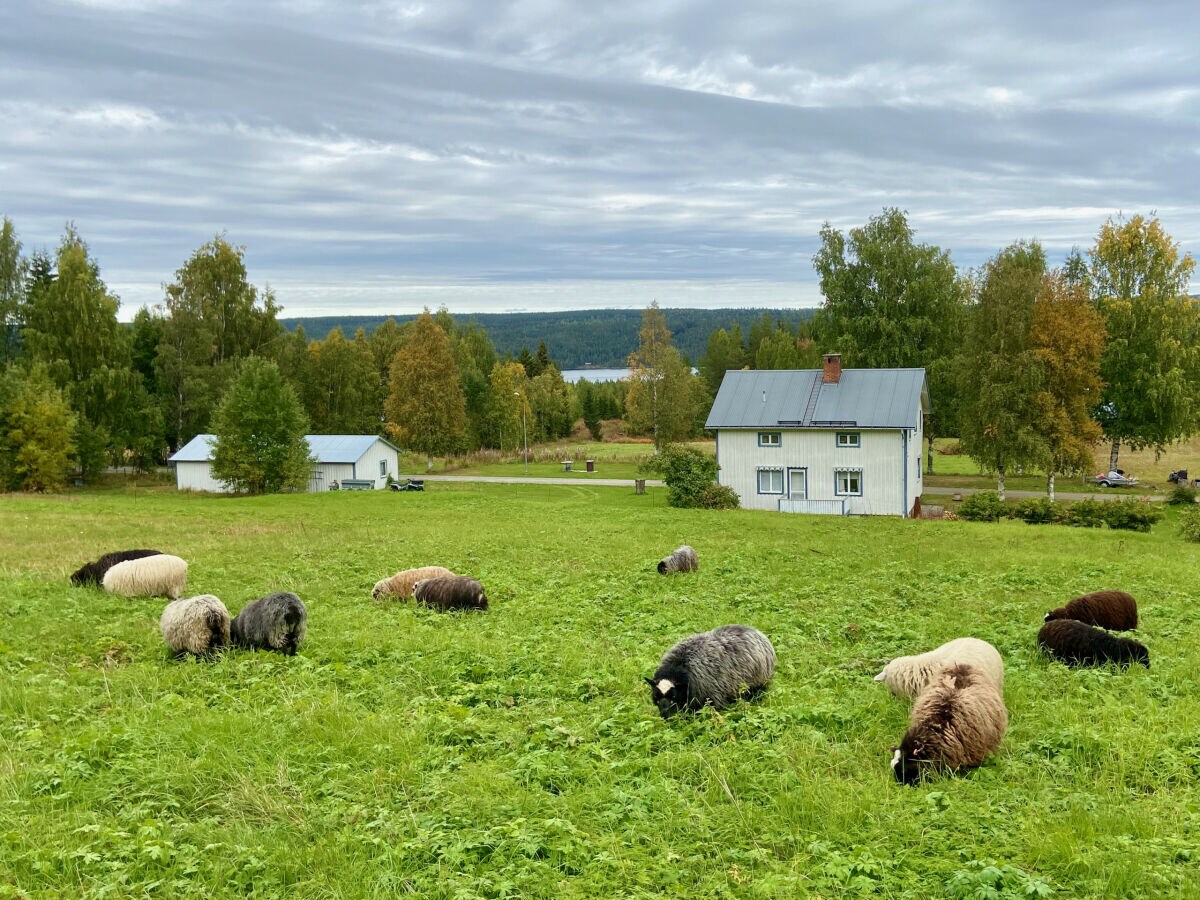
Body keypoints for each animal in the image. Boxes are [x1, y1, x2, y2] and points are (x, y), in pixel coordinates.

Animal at [648, 624, 777, 724]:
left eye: (674, 696)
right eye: (656, 696)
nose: (665, 716)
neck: (680, 665)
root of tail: (755, 630)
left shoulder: (712, 696)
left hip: (758, 683)